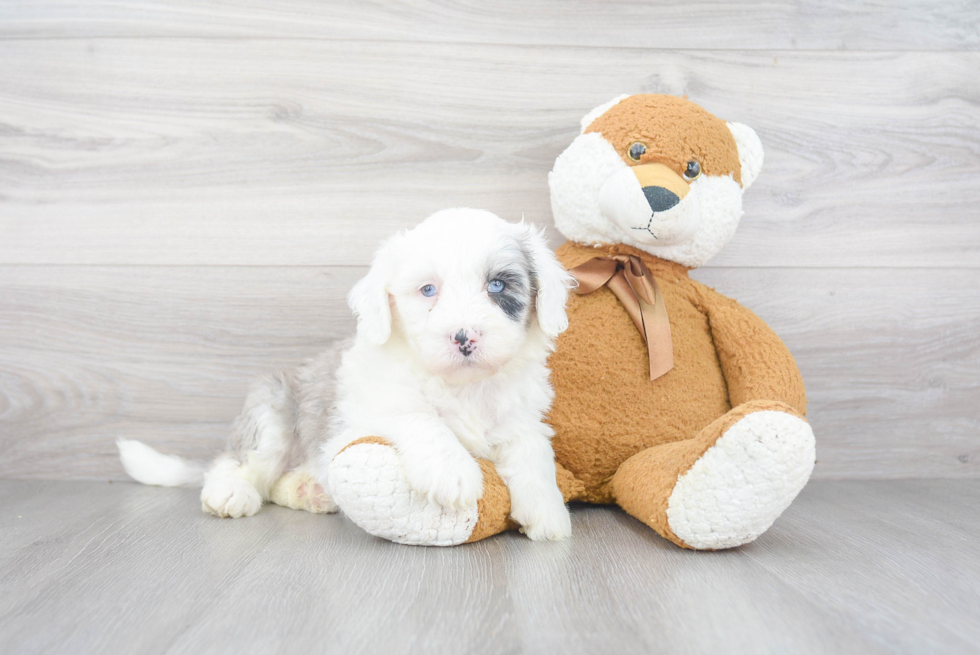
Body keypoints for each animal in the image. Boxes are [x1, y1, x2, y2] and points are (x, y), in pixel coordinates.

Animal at [117, 209, 576, 544]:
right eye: (428, 290)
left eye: (497, 285)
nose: (464, 338)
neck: (462, 386)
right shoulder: (366, 411)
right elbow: (418, 416)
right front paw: (452, 471)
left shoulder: (521, 419)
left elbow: (533, 454)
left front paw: (547, 512)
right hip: (272, 412)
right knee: (235, 463)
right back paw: (230, 492)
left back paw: (308, 490)